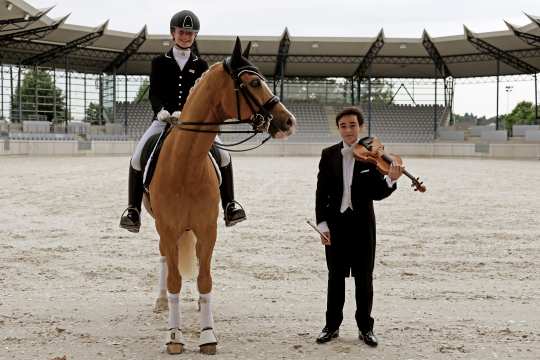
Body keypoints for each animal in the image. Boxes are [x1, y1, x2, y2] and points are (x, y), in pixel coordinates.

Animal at [144, 37, 296, 354]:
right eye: (253, 83)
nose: (289, 121)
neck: (185, 165)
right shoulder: (168, 228)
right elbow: (175, 280)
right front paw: (174, 336)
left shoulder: (207, 230)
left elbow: (205, 280)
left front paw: (207, 334)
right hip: (160, 228)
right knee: (164, 259)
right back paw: (161, 301)